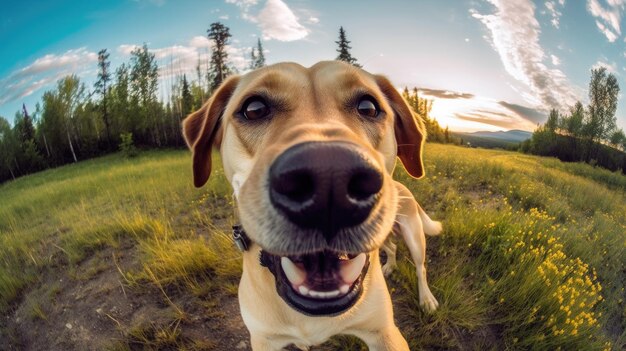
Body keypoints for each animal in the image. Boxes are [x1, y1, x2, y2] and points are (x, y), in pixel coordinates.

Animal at [180, 62, 434, 350]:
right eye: (253, 109)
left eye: (368, 107)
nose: (331, 179)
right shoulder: (263, 339)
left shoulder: (385, 333)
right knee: (391, 248)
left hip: (414, 235)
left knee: (420, 267)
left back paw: (427, 299)